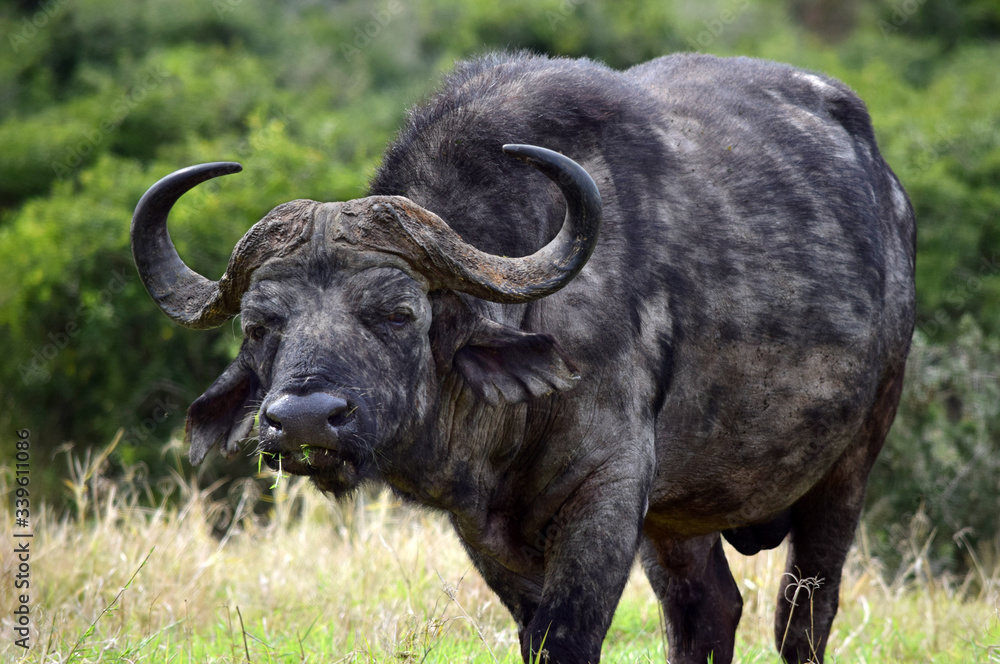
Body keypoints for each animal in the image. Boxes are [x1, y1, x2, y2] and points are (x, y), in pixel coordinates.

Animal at [131, 52, 915, 664]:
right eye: (260, 325)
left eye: (397, 313)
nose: (303, 420)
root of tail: (891, 196)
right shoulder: (484, 529)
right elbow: (534, 635)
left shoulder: (608, 492)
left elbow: (566, 639)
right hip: (678, 515)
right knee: (707, 613)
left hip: (851, 460)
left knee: (803, 617)